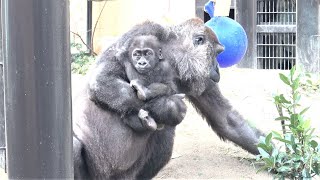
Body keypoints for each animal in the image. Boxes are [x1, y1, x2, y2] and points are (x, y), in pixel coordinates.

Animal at [73, 17, 264, 179]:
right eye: (216, 54)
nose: (217, 70)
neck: (173, 55)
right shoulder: (141, 30)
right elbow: (102, 80)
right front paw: (168, 106)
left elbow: (226, 120)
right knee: (75, 147)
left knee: (163, 134)